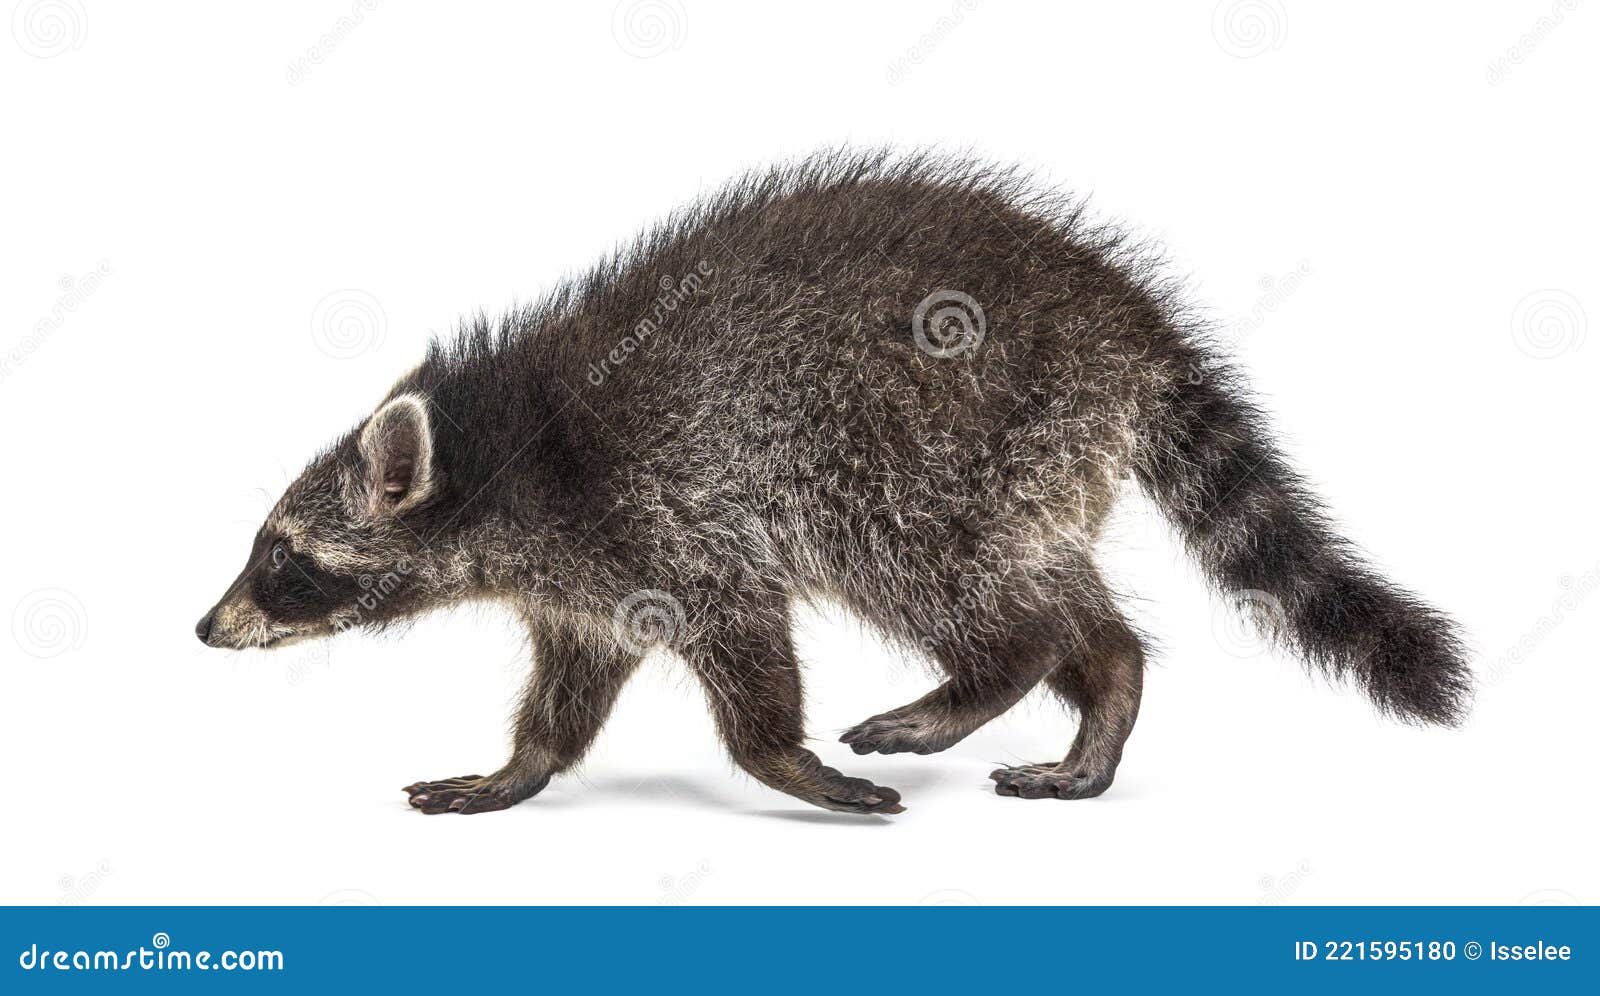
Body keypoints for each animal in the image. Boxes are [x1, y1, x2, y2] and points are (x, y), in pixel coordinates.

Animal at [196, 150, 1470, 815]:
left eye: (283, 560)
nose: (207, 628)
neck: (498, 451)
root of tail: (1125, 320)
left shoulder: (668, 522)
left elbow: (747, 646)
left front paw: (779, 760)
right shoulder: (581, 586)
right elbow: (571, 685)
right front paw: (521, 767)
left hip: (945, 432)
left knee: (944, 577)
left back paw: (985, 676)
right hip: (1039, 461)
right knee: (1063, 593)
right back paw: (1102, 687)